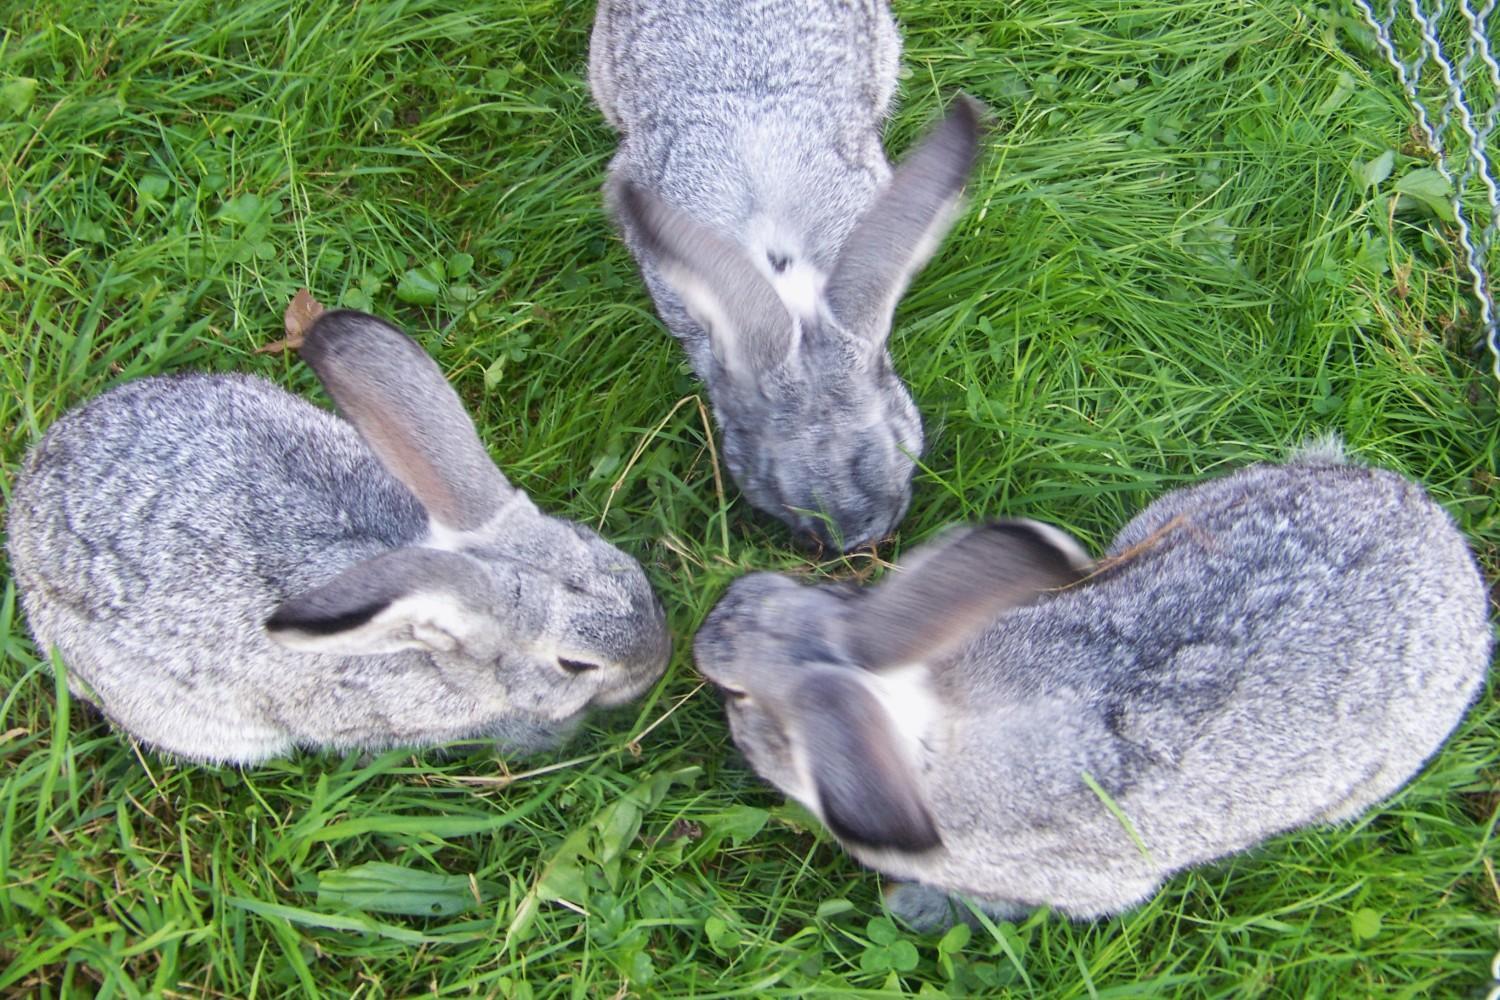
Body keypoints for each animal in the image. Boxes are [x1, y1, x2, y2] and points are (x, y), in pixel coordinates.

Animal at [690, 440, 1488, 929]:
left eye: (739, 699)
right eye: (825, 598)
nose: (713, 626)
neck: (933, 736)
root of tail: (1438, 533)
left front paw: (916, 907)